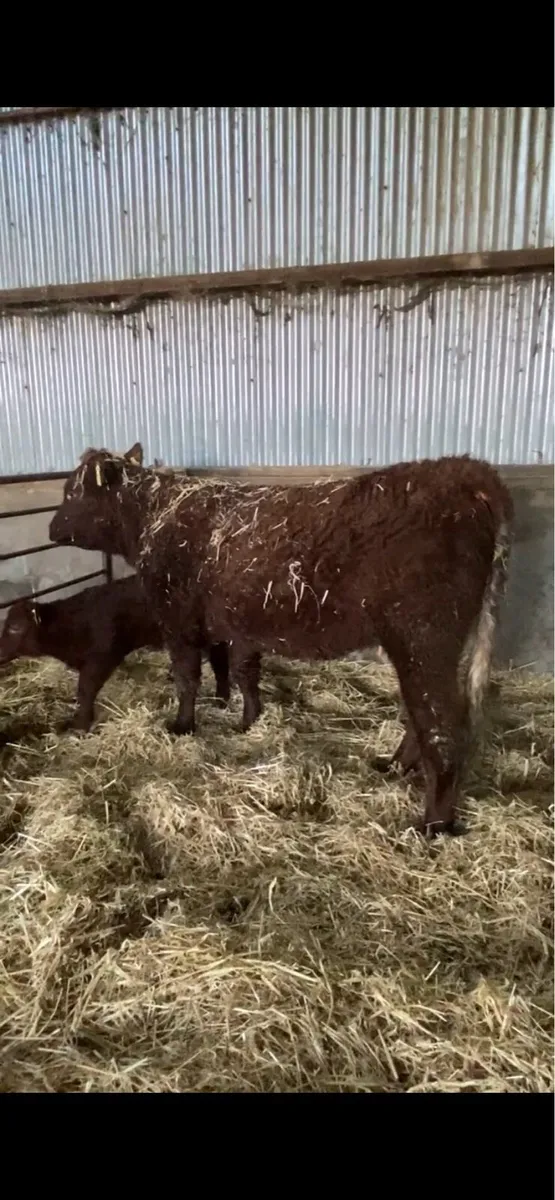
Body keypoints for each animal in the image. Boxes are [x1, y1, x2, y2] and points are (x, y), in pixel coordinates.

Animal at [0, 575, 230, 733]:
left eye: (15, 627)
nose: (0, 652)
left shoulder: (103, 657)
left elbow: (86, 689)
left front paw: (80, 724)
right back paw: (221, 700)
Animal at [49, 443, 513, 835]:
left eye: (72, 491)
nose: (52, 528)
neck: (156, 517)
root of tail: (468, 471)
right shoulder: (240, 625)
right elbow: (244, 673)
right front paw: (249, 720)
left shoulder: (178, 621)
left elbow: (187, 677)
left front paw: (181, 726)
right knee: (423, 716)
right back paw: (394, 767)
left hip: (424, 639)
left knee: (441, 723)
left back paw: (433, 823)